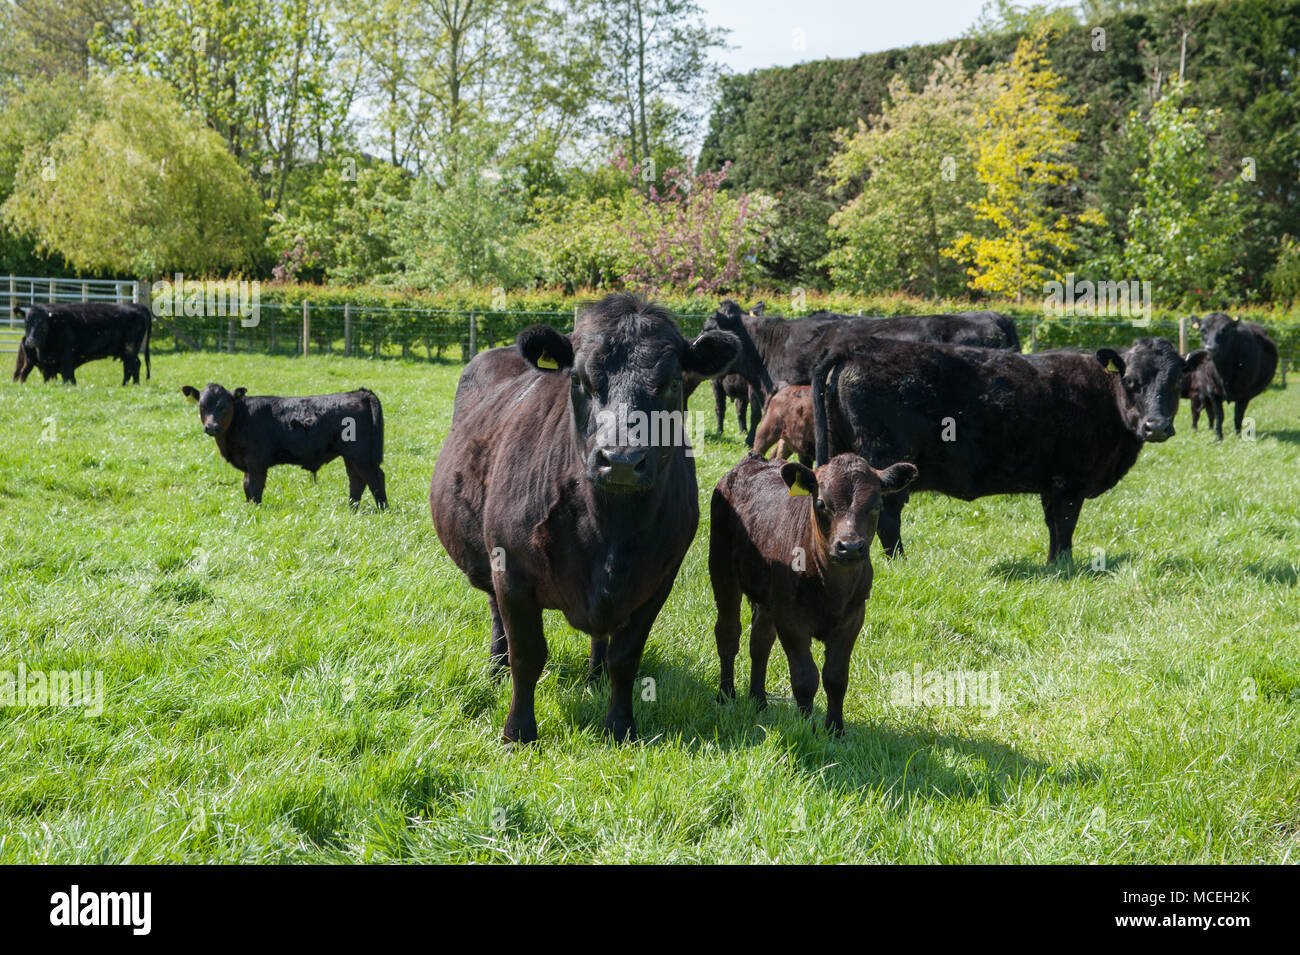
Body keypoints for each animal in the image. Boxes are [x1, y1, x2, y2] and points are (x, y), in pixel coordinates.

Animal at [15, 302, 152, 384]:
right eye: (26, 323)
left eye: (43, 325)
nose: (30, 341)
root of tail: (137, 306)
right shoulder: (48, 362)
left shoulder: (67, 355)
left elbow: (67, 374)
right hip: (127, 350)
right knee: (133, 365)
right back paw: (131, 384)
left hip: (129, 348)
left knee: (131, 366)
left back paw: (127, 384)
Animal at [182, 384, 384, 511]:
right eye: (202, 407)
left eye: (224, 406)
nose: (211, 427)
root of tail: (360, 393)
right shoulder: (248, 464)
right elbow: (246, 486)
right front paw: (249, 508)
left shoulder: (256, 462)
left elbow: (255, 487)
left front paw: (256, 510)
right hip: (351, 456)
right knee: (356, 481)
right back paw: (352, 508)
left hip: (361, 455)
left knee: (375, 478)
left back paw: (382, 508)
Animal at [431, 294, 743, 743]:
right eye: (578, 379)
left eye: (673, 382)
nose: (623, 460)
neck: (610, 527)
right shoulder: (511, 569)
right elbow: (528, 654)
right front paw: (518, 732)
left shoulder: (658, 580)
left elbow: (625, 657)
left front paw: (620, 726)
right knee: (495, 615)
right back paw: (496, 668)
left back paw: (593, 675)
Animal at [712, 452, 915, 738]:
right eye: (821, 503)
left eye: (876, 506)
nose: (850, 546)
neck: (832, 589)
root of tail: (753, 459)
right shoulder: (790, 618)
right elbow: (805, 677)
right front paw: (807, 728)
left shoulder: (853, 617)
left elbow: (836, 677)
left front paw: (836, 731)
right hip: (721, 568)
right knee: (728, 633)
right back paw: (726, 695)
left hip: (768, 597)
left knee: (760, 642)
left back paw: (759, 700)